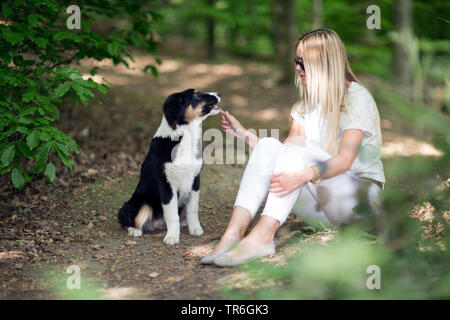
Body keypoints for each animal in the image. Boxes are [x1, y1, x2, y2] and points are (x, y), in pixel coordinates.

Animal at [117, 89, 221, 244]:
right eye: (197, 95)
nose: (219, 93)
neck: (184, 136)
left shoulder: (195, 181)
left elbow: (193, 209)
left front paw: (195, 229)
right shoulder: (167, 185)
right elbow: (171, 214)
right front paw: (172, 237)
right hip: (142, 203)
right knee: (126, 218)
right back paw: (134, 231)